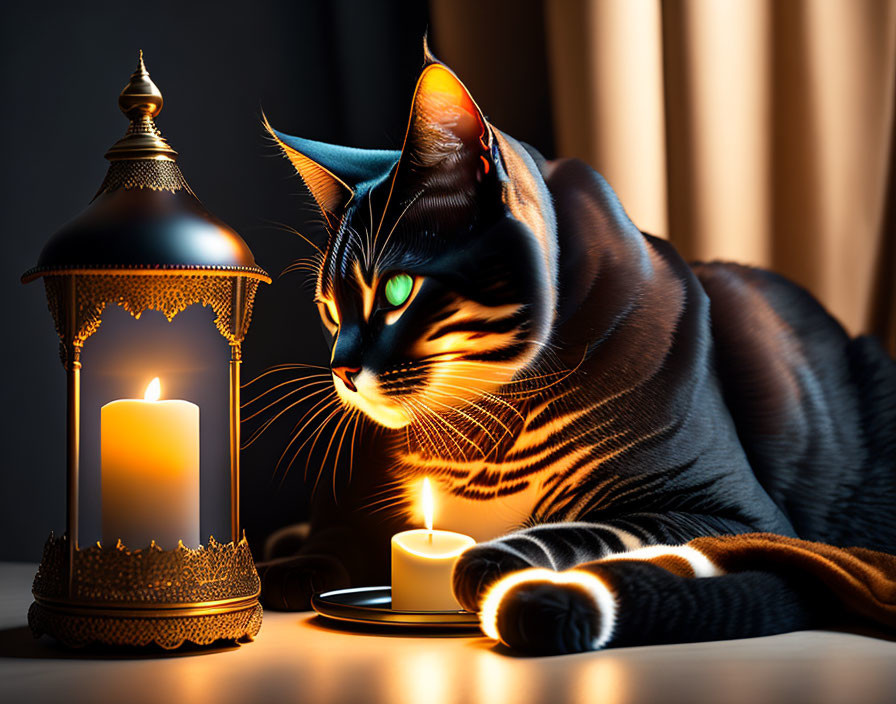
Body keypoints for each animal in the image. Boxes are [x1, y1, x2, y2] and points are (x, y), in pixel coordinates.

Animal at [254, 46, 896, 656]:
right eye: (330, 309)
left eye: (396, 290)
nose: (341, 369)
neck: (476, 438)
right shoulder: (351, 505)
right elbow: (333, 539)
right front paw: (286, 567)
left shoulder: (732, 509)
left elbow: (593, 529)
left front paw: (498, 560)